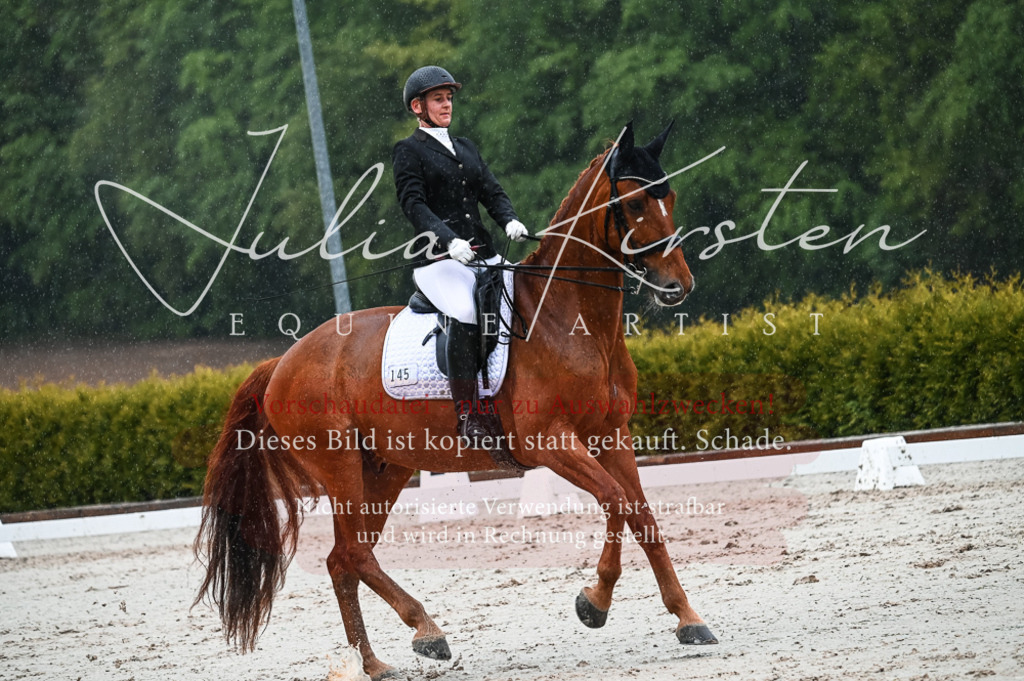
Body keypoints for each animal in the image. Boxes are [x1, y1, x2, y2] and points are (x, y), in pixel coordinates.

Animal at [193, 121, 715, 681]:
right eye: (635, 202)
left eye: (670, 197)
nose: (678, 285)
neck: (571, 318)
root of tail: (282, 362)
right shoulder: (549, 442)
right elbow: (616, 502)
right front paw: (593, 602)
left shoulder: (610, 435)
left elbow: (644, 517)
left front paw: (689, 619)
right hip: (340, 468)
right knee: (354, 554)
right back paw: (427, 631)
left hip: (385, 469)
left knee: (343, 559)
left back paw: (375, 663)